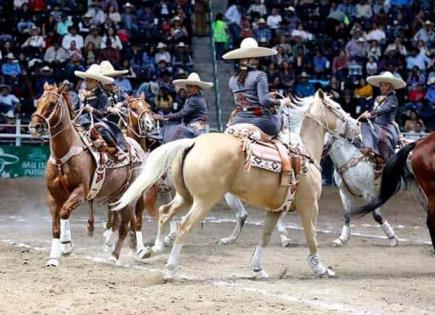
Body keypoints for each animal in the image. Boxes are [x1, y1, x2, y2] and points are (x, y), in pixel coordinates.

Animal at [28, 82, 150, 268]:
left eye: (52, 103)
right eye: (38, 101)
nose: (34, 126)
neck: (63, 155)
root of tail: (136, 148)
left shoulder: (80, 192)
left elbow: (64, 212)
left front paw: (66, 246)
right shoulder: (53, 196)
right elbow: (56, 227)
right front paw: (53, 258)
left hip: (132, 196)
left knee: (126, 225)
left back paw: (115, 256)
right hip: (116, 195)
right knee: (119, 222)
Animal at [113, 90, 362, 280]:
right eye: (337, 107)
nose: (357, 127)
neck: (301, 152)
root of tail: (193, 142)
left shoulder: (275, 210)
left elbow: (265, 236)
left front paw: (258, 269)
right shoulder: (309, 207)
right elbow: (312, 238)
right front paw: (320, 268)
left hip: (186, 197)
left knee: (165, 213)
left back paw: (152, 250)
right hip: (203, 201)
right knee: (184, 226)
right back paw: (170, 269)